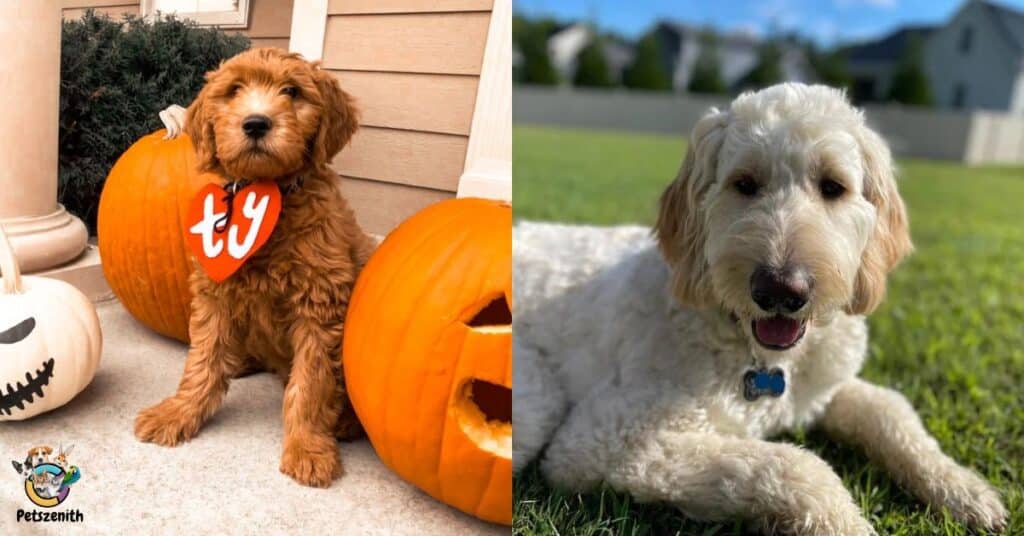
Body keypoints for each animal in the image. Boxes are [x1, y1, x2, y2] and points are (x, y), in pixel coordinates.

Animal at [134, 48, 376, 487]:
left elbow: (311, 384)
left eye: (292, 91)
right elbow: (202, 361)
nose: (256, 123)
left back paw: (346, 422)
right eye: (234, 91)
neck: (268, 192)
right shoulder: (214, 293)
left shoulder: (319, 304)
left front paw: (307, 448)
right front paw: (178, 412)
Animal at [512, 81, 1007, 532]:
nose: (781, 291)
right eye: (745, 184)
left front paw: (963, 487)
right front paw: (845, 521)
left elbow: (889, 411)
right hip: (539, 400)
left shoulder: (826, 386)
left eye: (833, 187)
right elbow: (793, 465)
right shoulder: (607, 437)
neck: (764, 358)